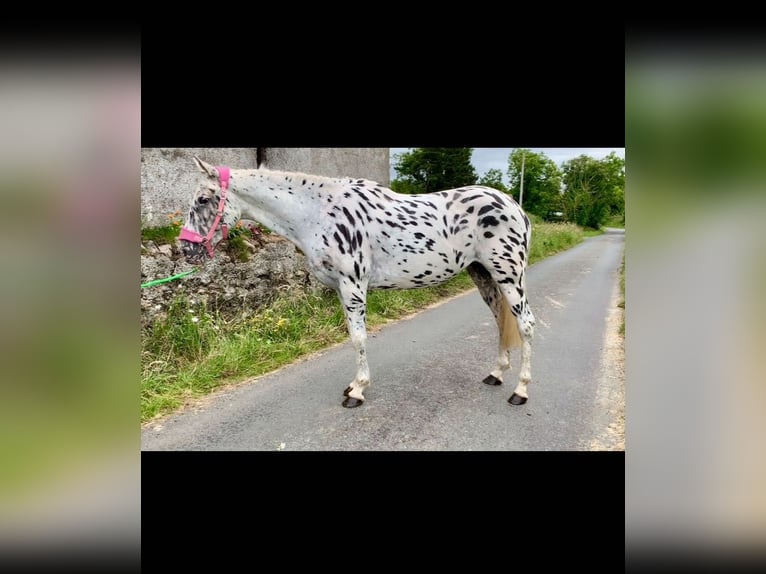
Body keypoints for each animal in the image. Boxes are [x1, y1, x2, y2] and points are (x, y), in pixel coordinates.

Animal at [181, 158, 536, 410]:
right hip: (483, 274)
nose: (186, 248)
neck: (319, 213)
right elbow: (354, 337)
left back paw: (520, 390)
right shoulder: (341, 289)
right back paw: (496, 374)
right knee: (499, 320)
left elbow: (358, 337)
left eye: (202, 200)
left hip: (509, 275)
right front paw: (354, 386)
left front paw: (357, 391)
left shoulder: (353, 285)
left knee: (525, 324)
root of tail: (515, 207)